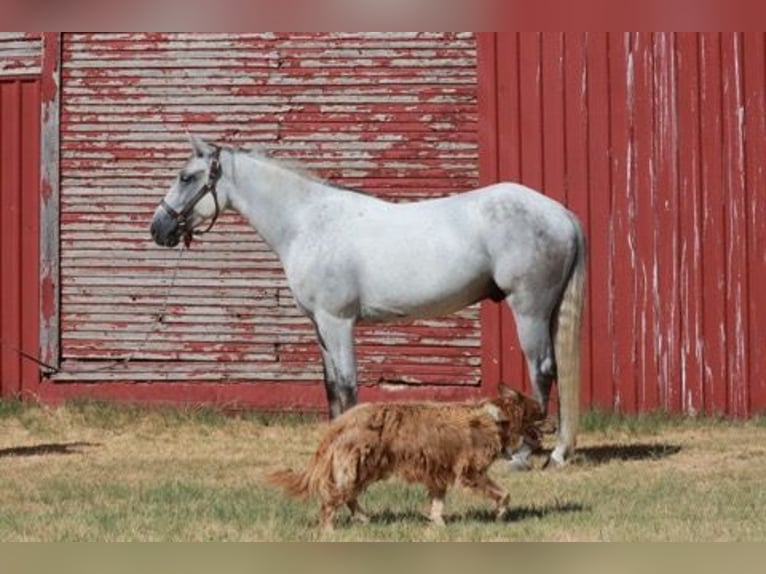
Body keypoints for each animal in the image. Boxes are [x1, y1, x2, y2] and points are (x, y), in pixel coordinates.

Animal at [150, 135, 586, 468]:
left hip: (528, 309)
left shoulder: (337, 321)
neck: (309, 223)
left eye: (186, 177)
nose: (159, 228)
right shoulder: (320, 325)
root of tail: (561, 214)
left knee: (542, 370)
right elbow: (331, 386)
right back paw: (559, 451)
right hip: (546, 312)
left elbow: (347, 385)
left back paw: (526, 454)